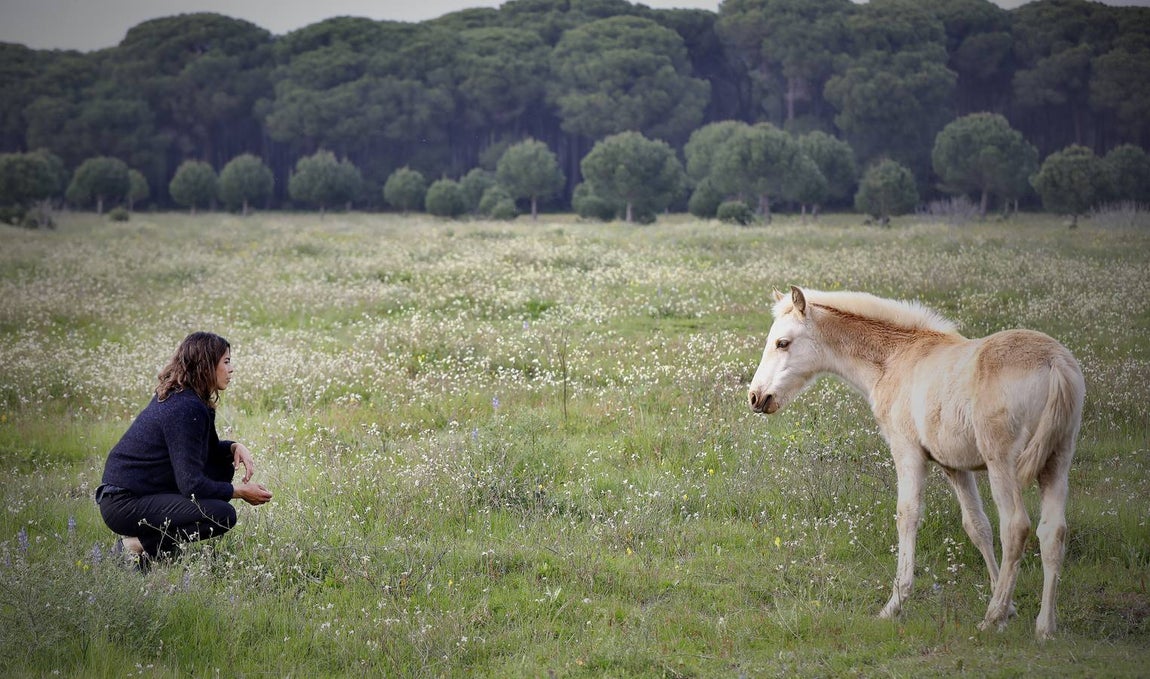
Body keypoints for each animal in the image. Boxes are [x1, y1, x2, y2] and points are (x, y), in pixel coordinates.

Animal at [747, 286, 1084, 640]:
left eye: (783, 343)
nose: (755, 397)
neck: (896, 358)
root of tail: (1055, 363)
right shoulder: (953, 465)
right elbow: (977, 526)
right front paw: (1010, 608)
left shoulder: (907, 450)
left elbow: (907, 516)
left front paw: (895, 604)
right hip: (1057, 462)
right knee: (1052, 532)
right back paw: (1044, 627)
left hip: (1002, 463)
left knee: (1016, 527)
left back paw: (991, 619)